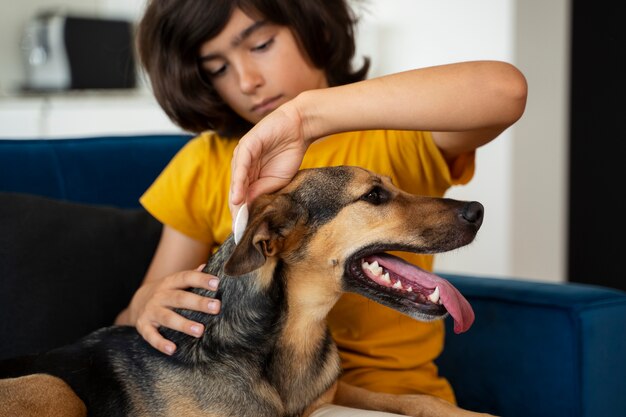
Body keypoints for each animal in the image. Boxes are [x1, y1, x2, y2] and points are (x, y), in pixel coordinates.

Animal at [0, 166, 488, 416]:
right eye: (373, 196)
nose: (478, 210)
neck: (292, 335)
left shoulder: (331, 395)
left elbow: (410, 397)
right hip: (52, 385)